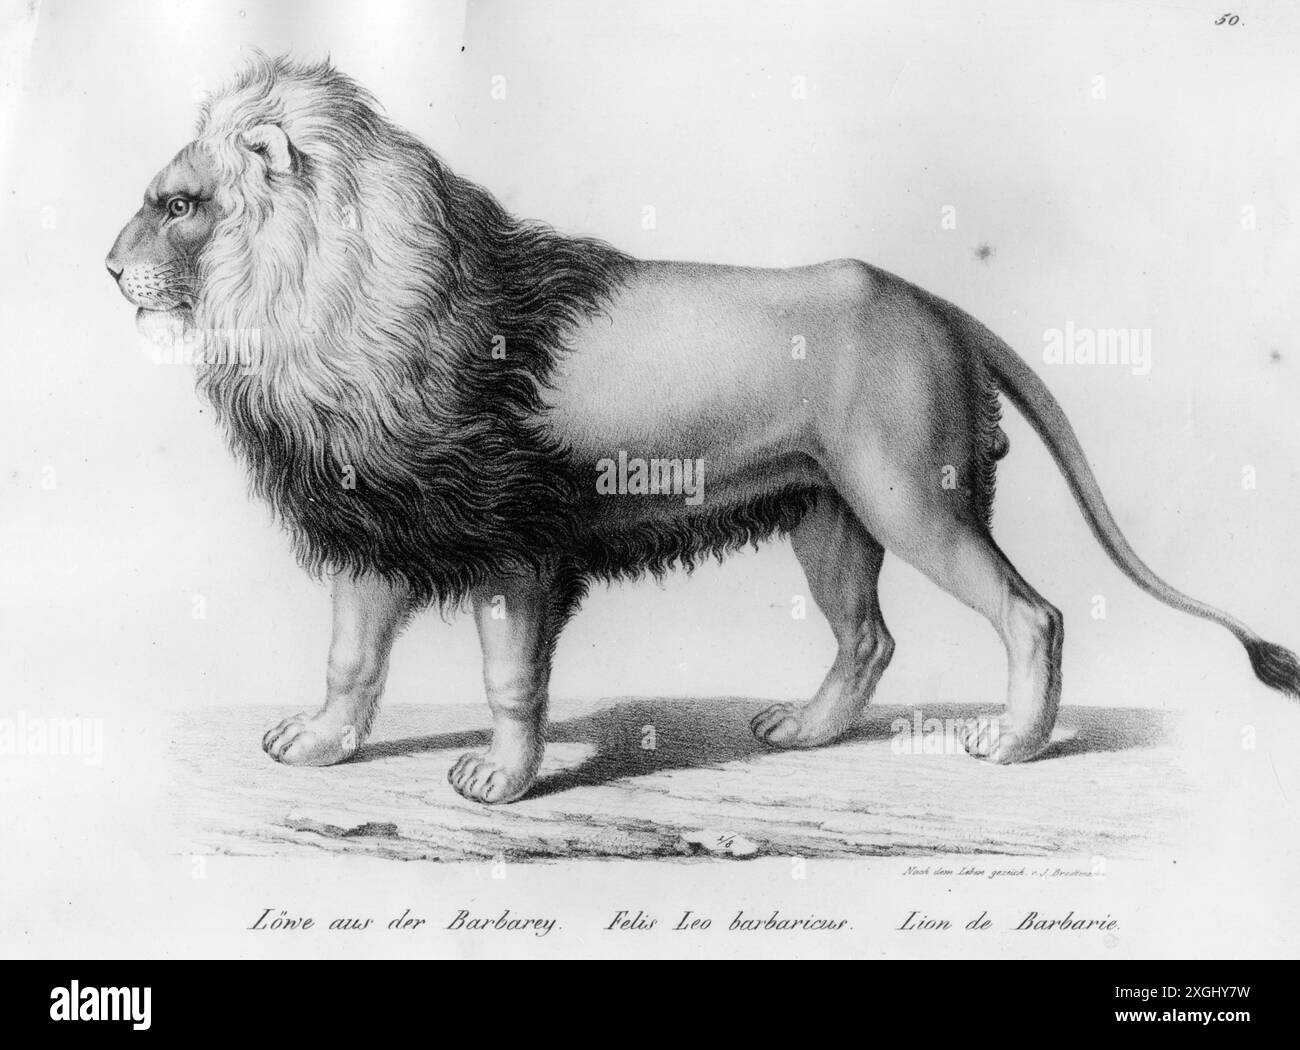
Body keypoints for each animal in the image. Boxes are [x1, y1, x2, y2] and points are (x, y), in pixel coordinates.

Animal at [107, 55, 1299, 804]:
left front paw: (501, 782)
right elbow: (350, 660)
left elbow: (509, 682)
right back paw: (805, 731)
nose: (109, 269)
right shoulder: (379, 525)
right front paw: (317, 746)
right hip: (830, 517)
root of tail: (933, 305)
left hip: (913, 501)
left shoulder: (514, 550)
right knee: (869, 639)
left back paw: (1012, 743)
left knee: (1033, 615)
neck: (314, 312)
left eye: (179, 205)